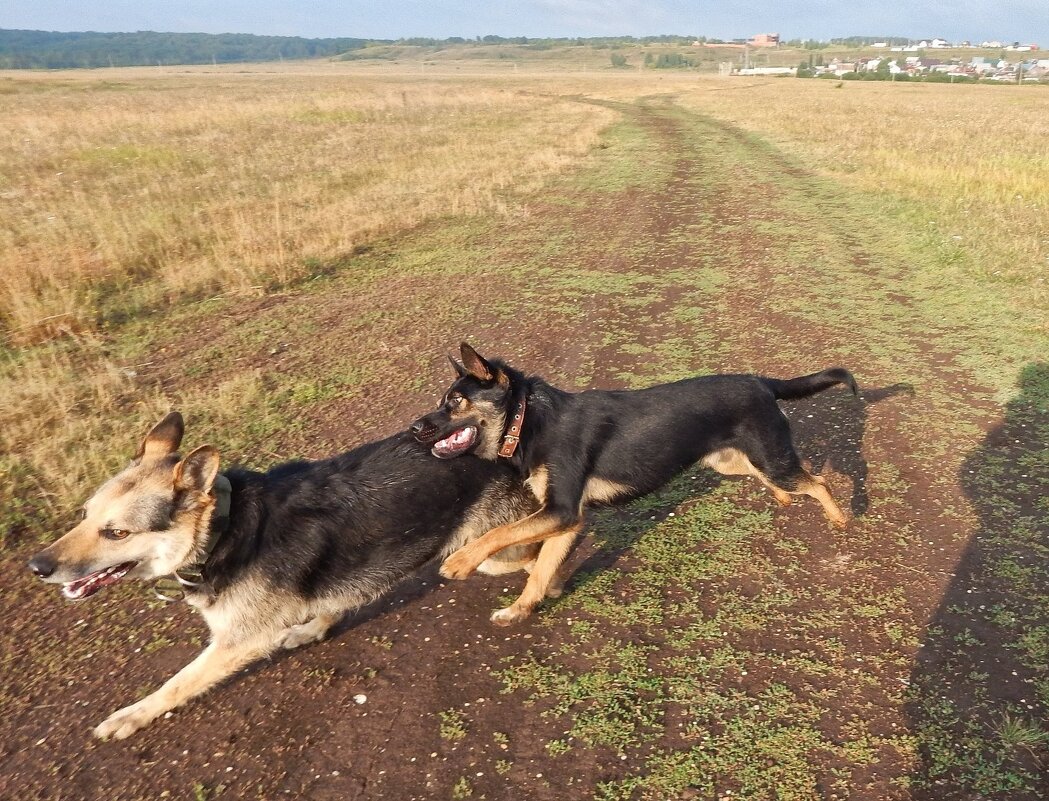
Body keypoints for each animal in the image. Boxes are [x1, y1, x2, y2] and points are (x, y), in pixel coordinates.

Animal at [27, 413, 537, 738]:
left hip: (487, 553)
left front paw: (131, 716)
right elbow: (330, 602)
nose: (37, 567)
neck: (223, 531)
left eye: (116, 532)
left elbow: (176, 684)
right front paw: (313, 628)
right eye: (84, 515)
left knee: (544, 547)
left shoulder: (236, 643)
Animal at [409, 343, 860, 624]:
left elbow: (498, 533)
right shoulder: (566, 518)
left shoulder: (560, 510)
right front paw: (520, 609)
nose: (414, 429)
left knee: (818, 481)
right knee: (777, 478)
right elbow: (540, 569)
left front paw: (461, 561)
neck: (527, 418)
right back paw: (783, 498)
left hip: (771, 458)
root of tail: (763, 381)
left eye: (454, 402)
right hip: (732, 462)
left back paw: (840, 518)